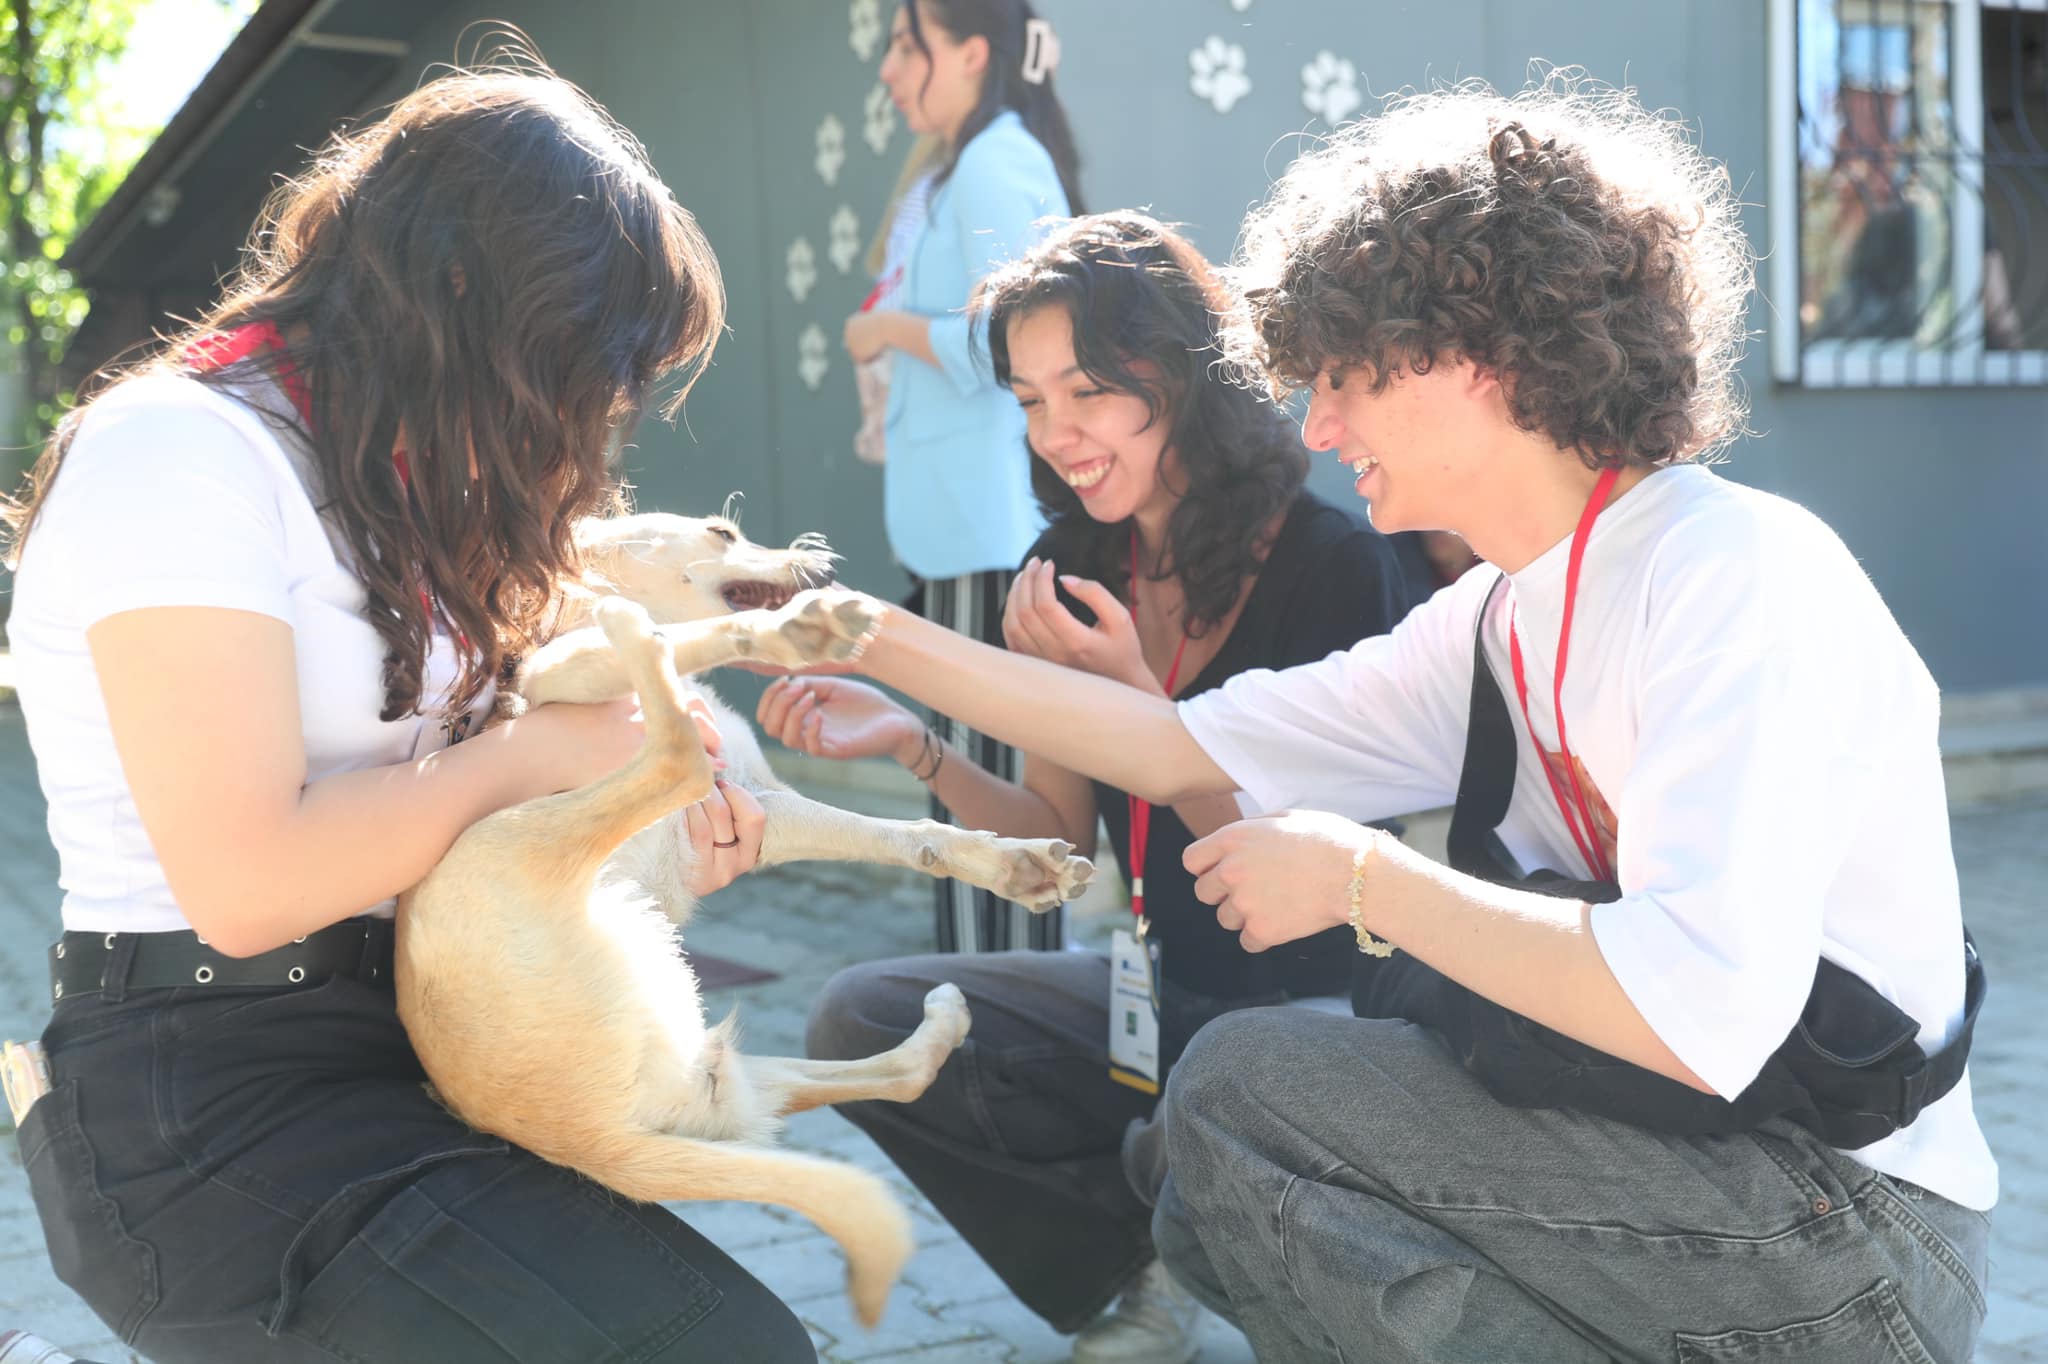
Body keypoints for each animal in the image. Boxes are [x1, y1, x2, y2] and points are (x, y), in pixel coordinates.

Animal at [385, 509, 1089, 1318]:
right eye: (722, 532)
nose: (818, 560)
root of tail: (588, 1141)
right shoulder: (556, 675)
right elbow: (680, 643)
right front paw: (793, 629)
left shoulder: (765, 807)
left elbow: (909, 836)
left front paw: (1015, 865)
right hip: (508, 841)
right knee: (674, 753)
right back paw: (640, 631)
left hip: (741, 1077)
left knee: (903, 1073)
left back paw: (943, 1019)